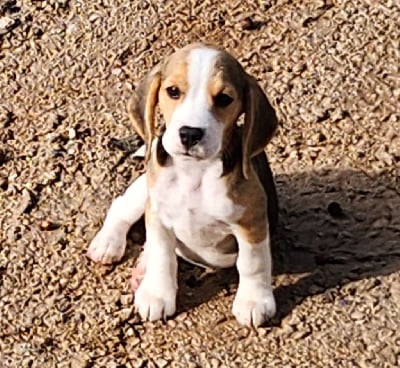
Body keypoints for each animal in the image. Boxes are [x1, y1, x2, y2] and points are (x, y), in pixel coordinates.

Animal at [86, 43, 278, 328]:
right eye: (173, 91)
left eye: (224, 98)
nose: (189, 133)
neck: (194, 173)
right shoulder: (158, 214)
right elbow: (163, 257)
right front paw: (157, 294)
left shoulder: (251, 221)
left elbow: (252, 262)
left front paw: (254, 300)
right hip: (146, 188)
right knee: (121, 206)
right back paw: (108, 244)